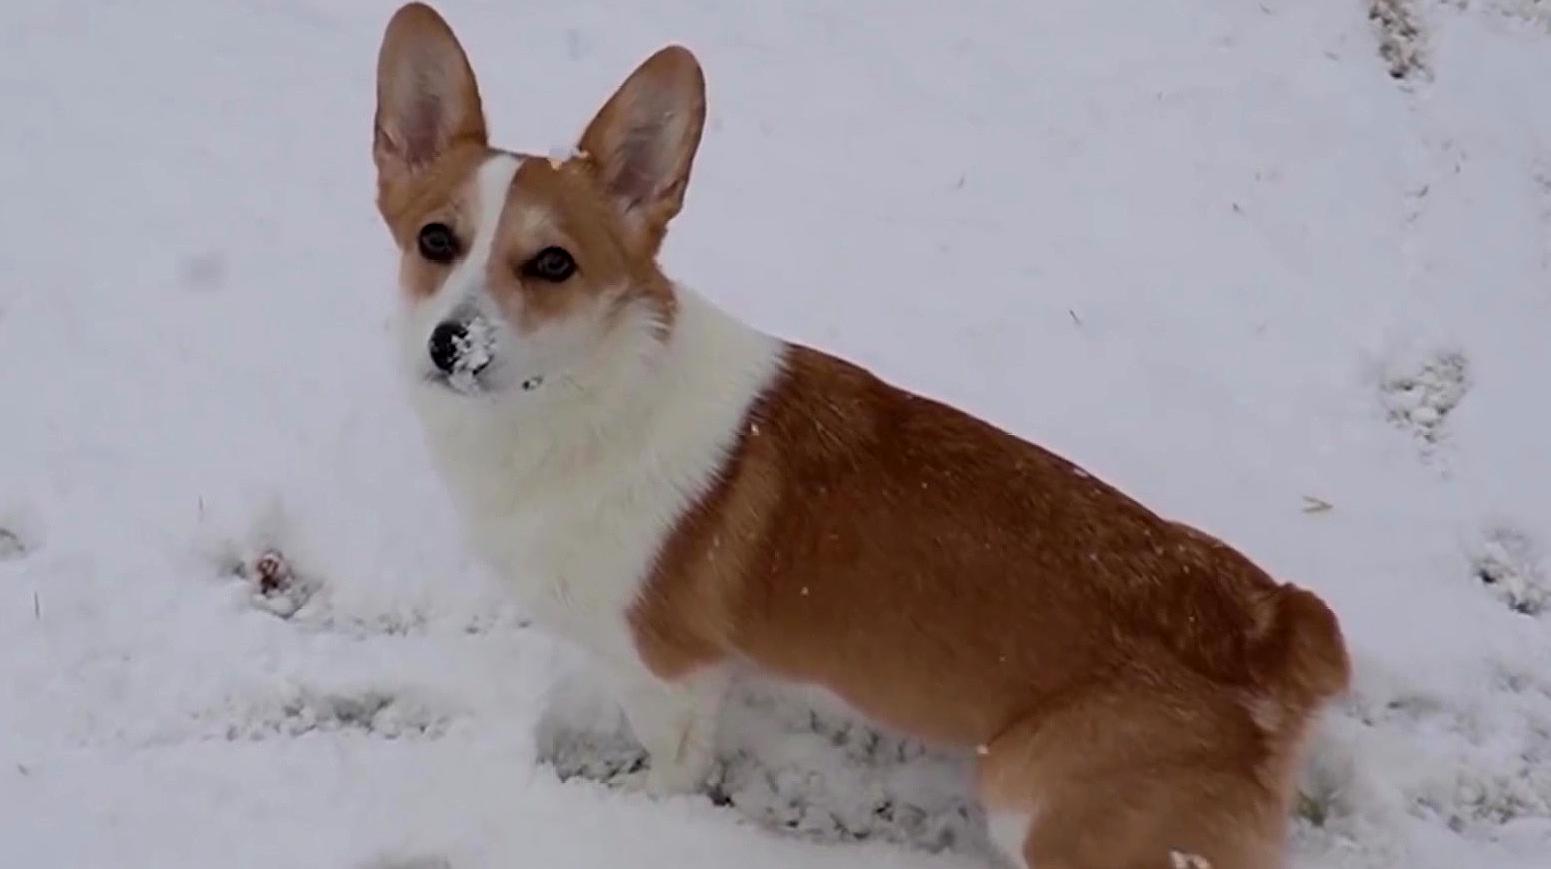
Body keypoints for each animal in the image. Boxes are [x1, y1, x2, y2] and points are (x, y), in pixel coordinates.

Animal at [372, 3, 1346, 862]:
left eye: (553, 263)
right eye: (435, 239)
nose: (449, 345)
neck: (581, 396)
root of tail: (1271, 632)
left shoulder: (669, 676)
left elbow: (671, 771)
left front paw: (636, 810)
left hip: (1046, 808)